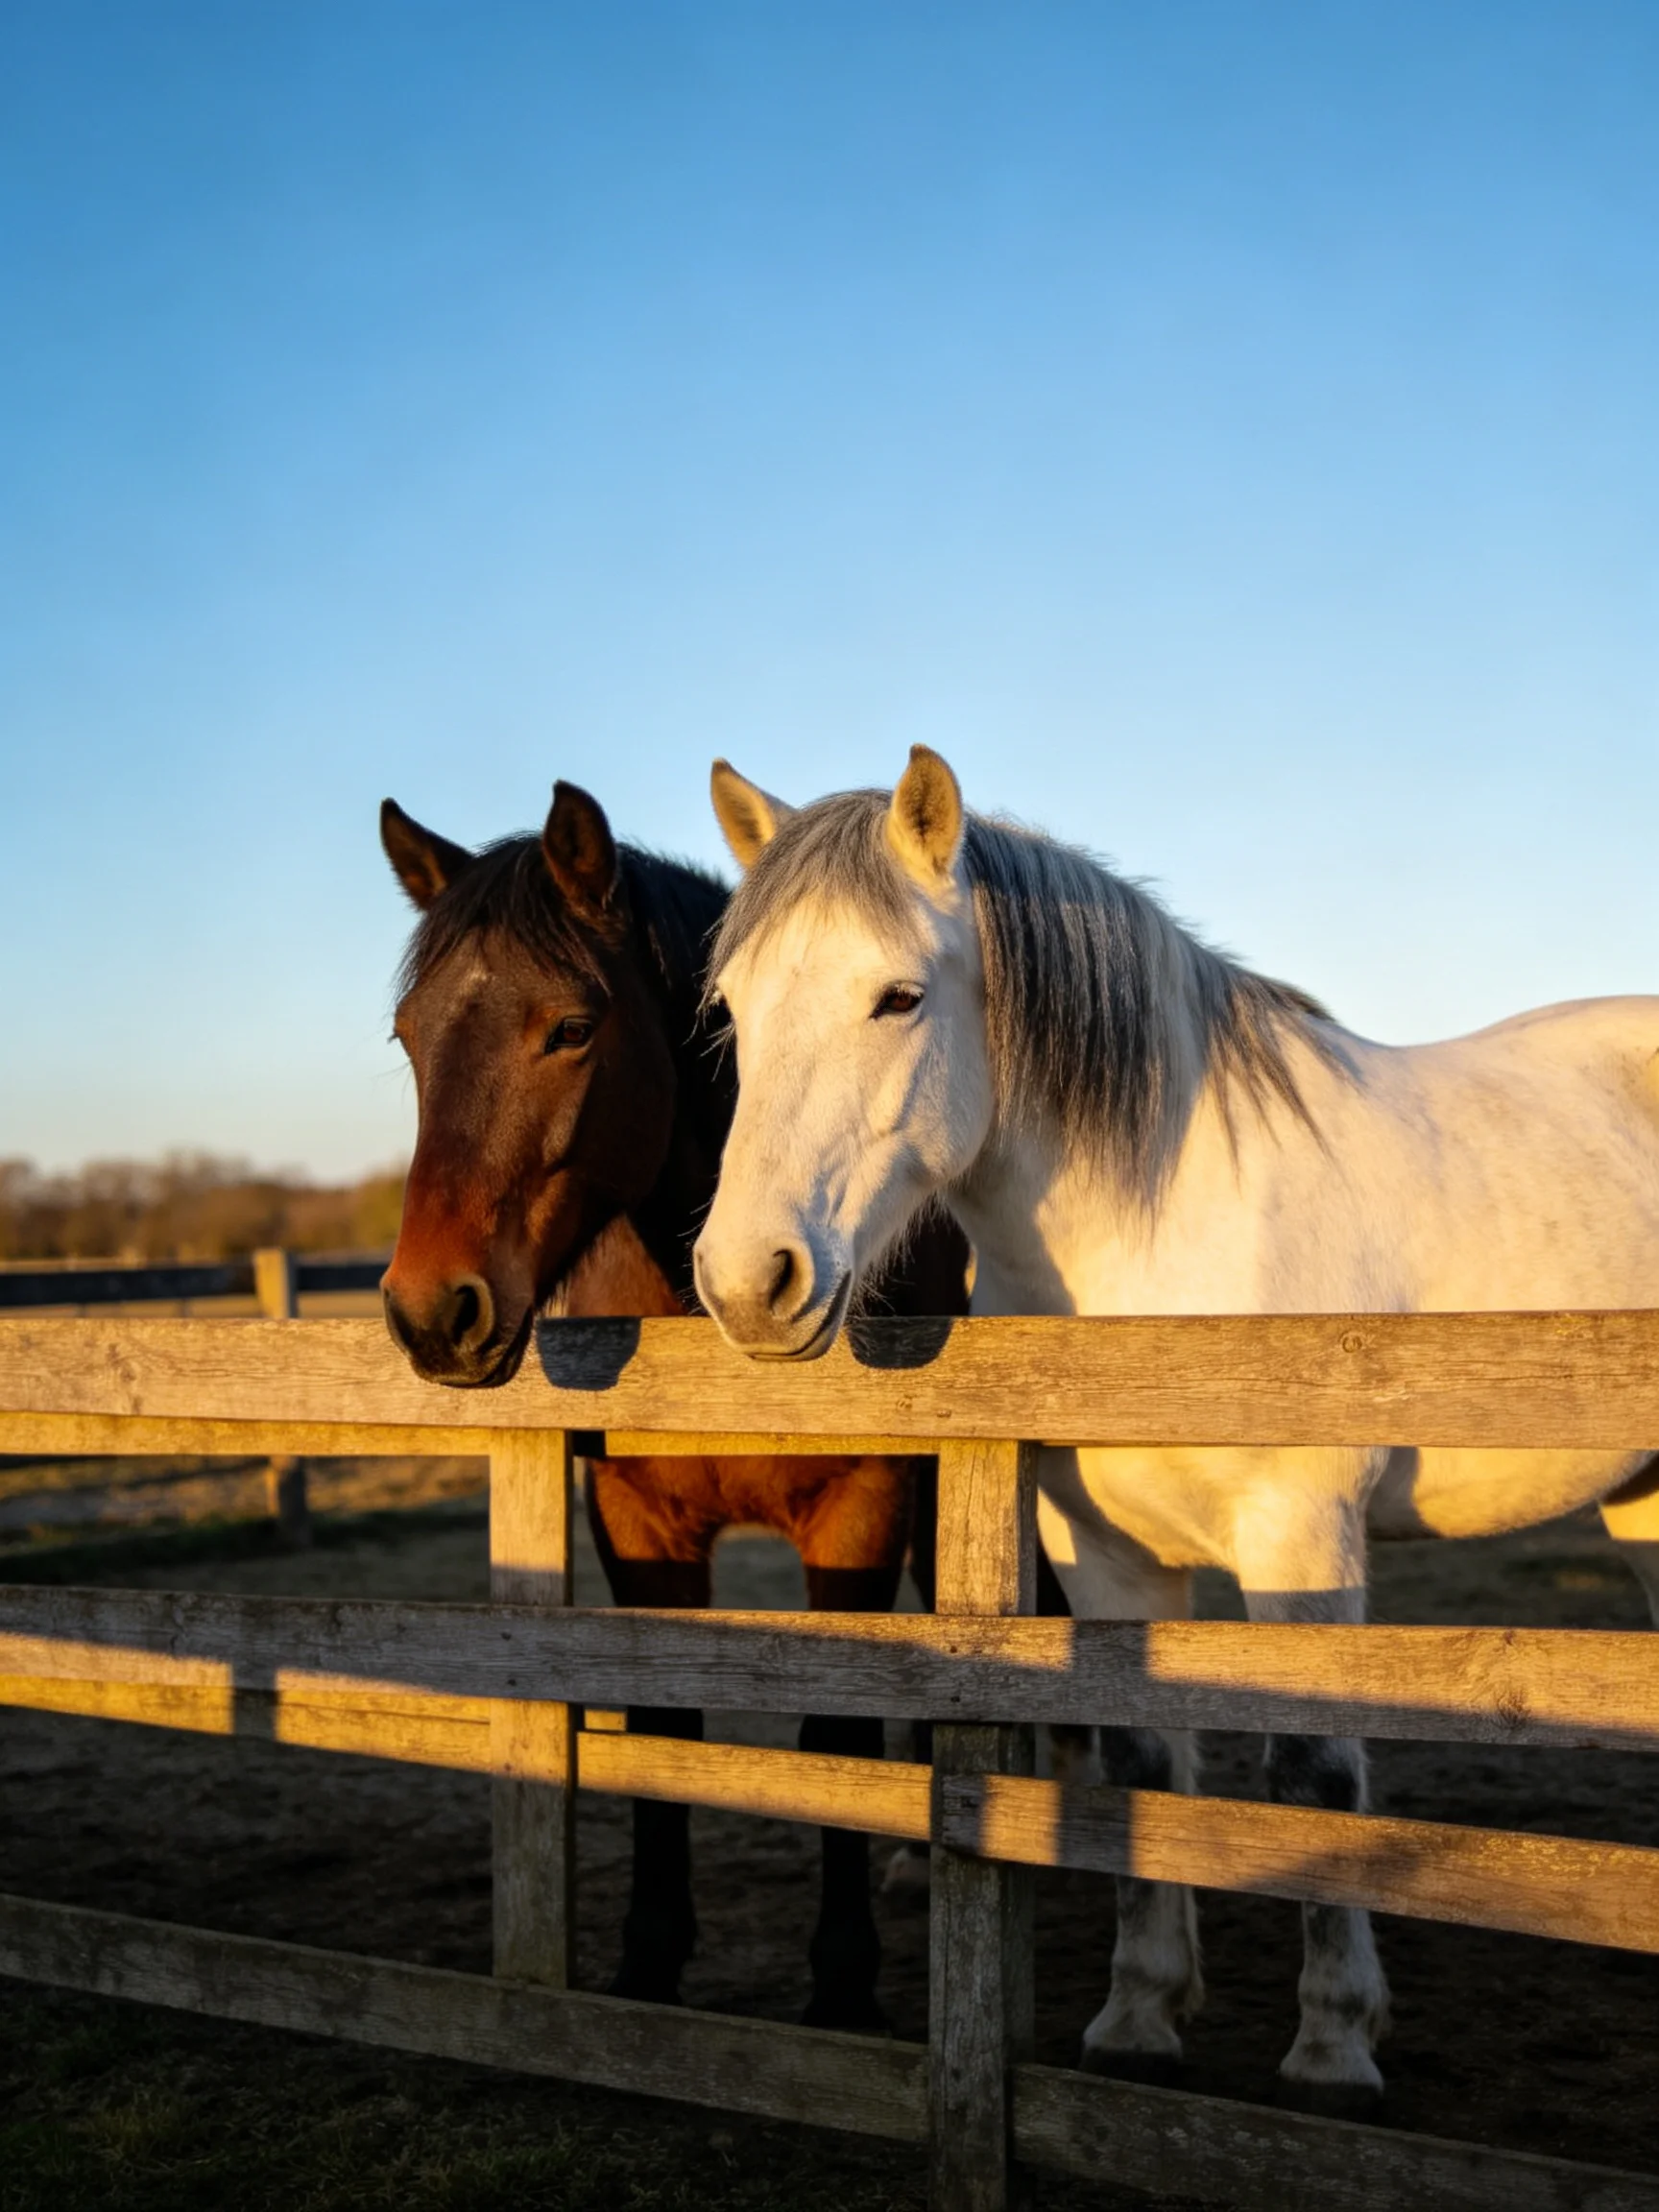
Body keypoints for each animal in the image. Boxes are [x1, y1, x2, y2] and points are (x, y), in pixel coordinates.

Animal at [376, 776, 976, 2028]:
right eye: (409, 1037)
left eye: (571, 1028)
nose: (430, 1310)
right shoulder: (638, 1525)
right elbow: (661, 1728)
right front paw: (647, 1966)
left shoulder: (859, 1510)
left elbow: (834, 1728)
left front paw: (842, 1987)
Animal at [691, 744, 1659, 2108]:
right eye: (734, 1008)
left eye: (898, 997)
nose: (746, 1281)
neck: (1165, 1247)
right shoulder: (1103, 1551)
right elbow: (1144, 1762)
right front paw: (1139, 2017)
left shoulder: (1303, 1543)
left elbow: (1314, 1778)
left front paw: (1331, 2046)